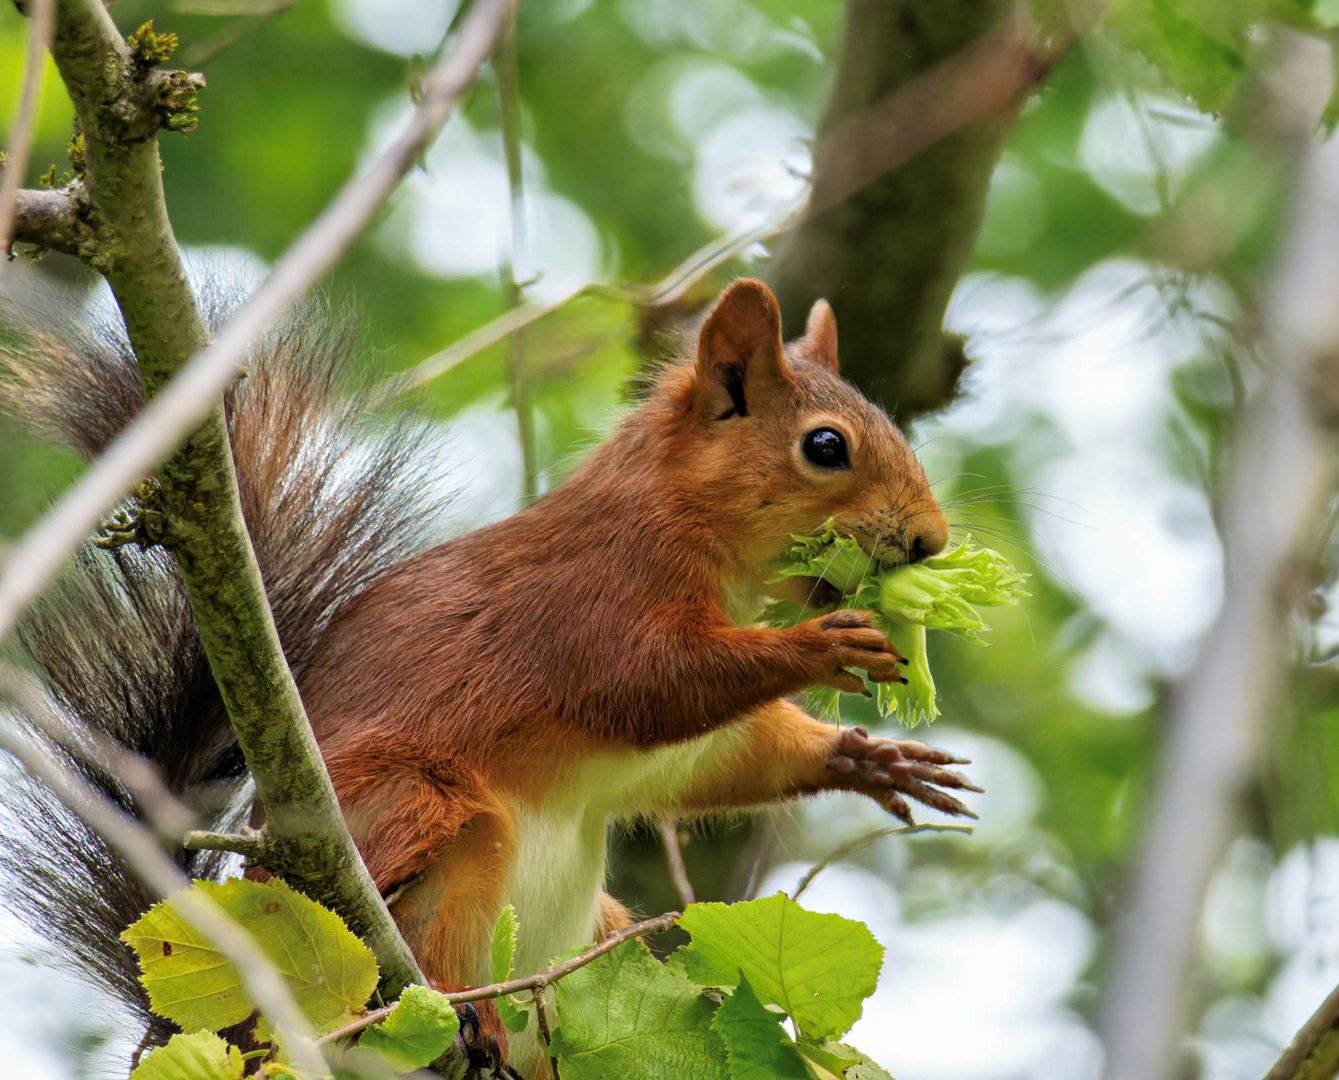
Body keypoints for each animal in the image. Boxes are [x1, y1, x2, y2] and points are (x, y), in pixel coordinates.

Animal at [5, 277, 980, 1070]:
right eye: (826, 446)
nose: (929, 542)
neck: (685, 517)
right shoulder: (594, 604)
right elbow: (652, 688)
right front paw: (826, 644)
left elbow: (709, 757)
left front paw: (866, 758)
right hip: (422, 815)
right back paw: (468, 1022)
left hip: (593, 934)